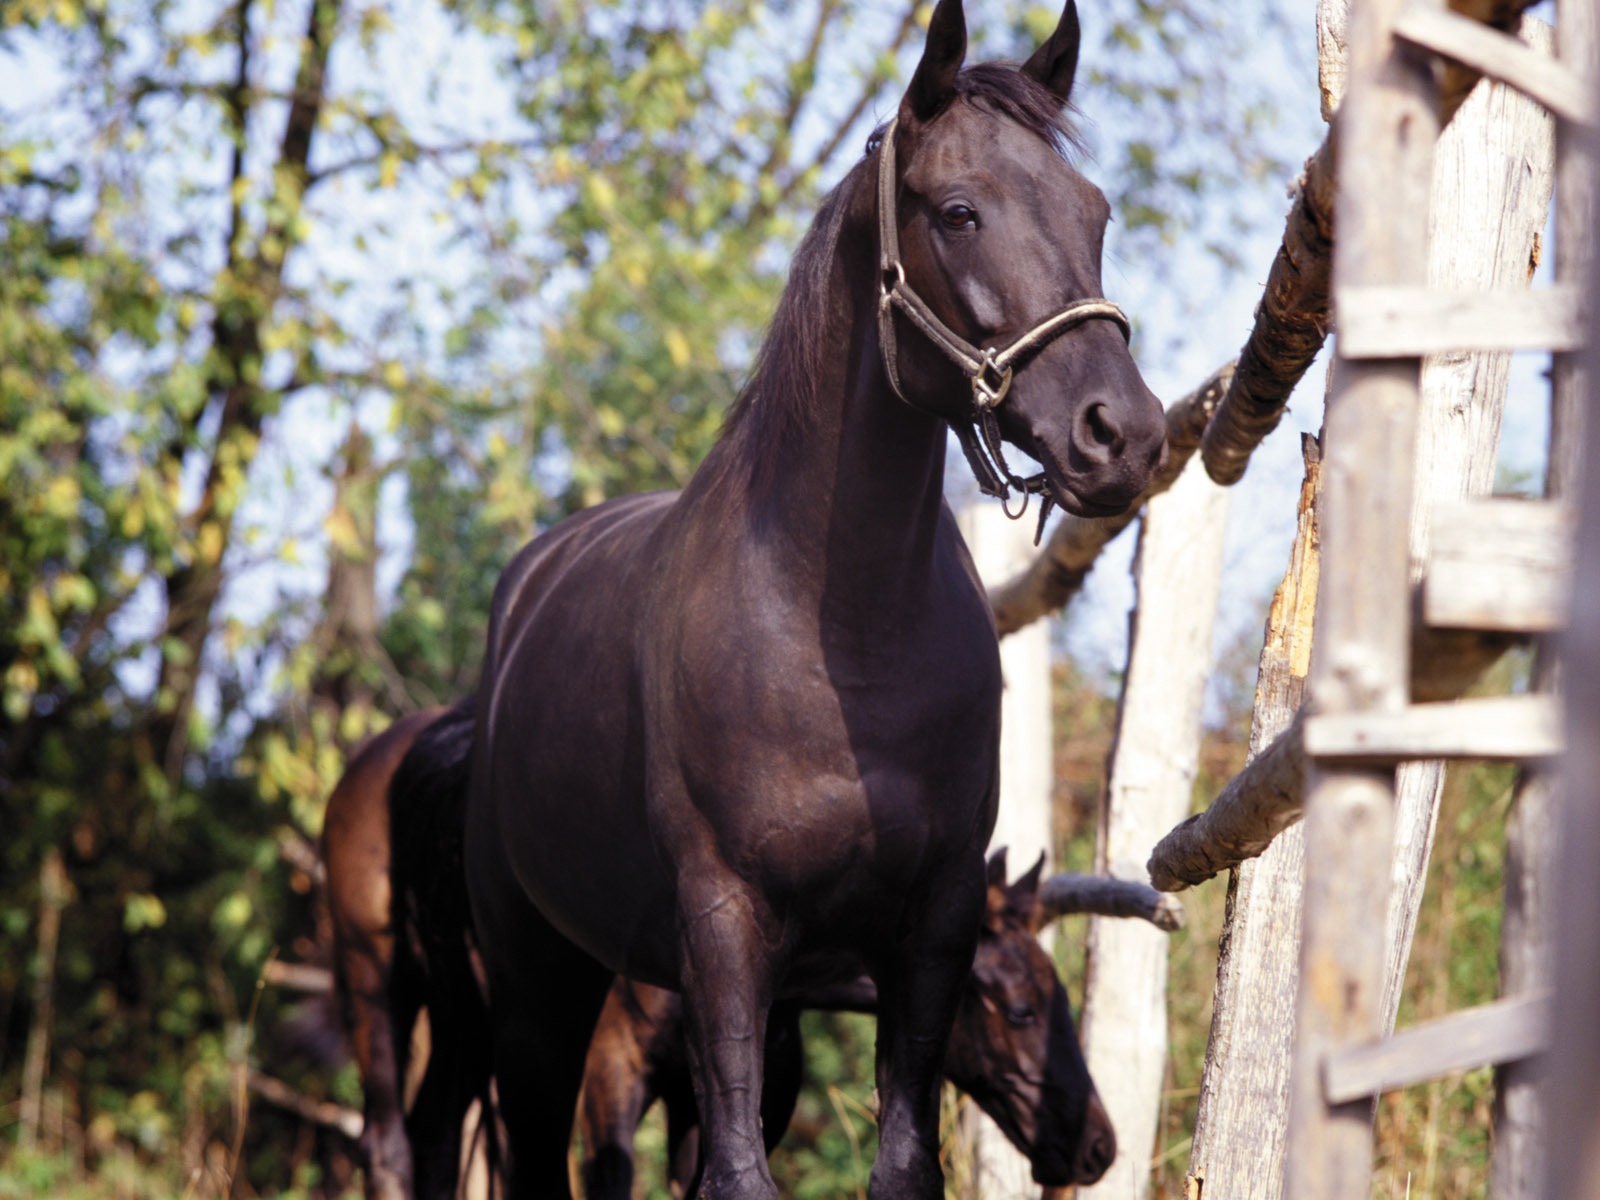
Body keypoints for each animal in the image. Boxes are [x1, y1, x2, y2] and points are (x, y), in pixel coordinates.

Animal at [464, 4, 1164, 1196]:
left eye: (1095, 212)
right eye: (959, 211)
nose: (1122, 433)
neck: (841, 637)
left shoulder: (928, 931)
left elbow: (899, 1163)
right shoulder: (727, 931)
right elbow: (742, 1176)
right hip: (538, 989)